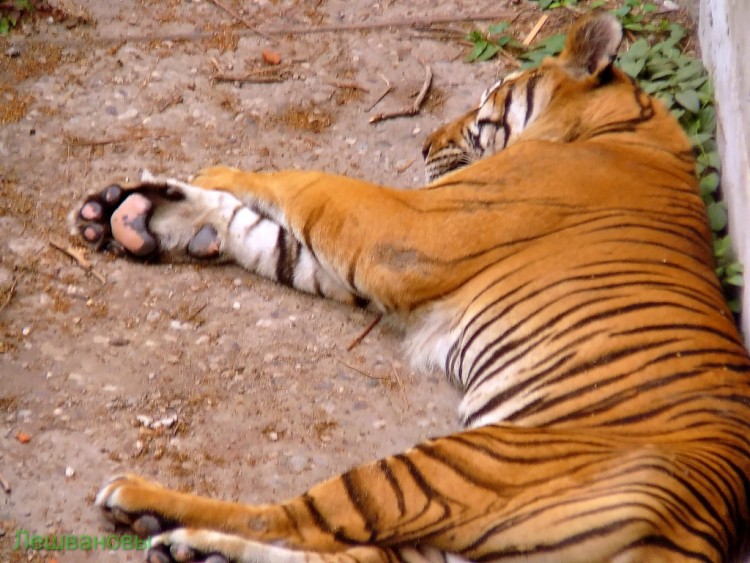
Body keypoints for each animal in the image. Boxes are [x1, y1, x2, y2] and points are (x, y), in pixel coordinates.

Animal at [72, 12, 750, 563]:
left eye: (486, 105)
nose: (425, 145)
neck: (627, 123)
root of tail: (701, 528)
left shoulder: (408, 234)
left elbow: (304, 183)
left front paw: (213, 174)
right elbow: (267, 236)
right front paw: (140, 216)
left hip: (455, 467)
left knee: (295, 519)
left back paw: (145, 504)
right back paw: (195, 547)